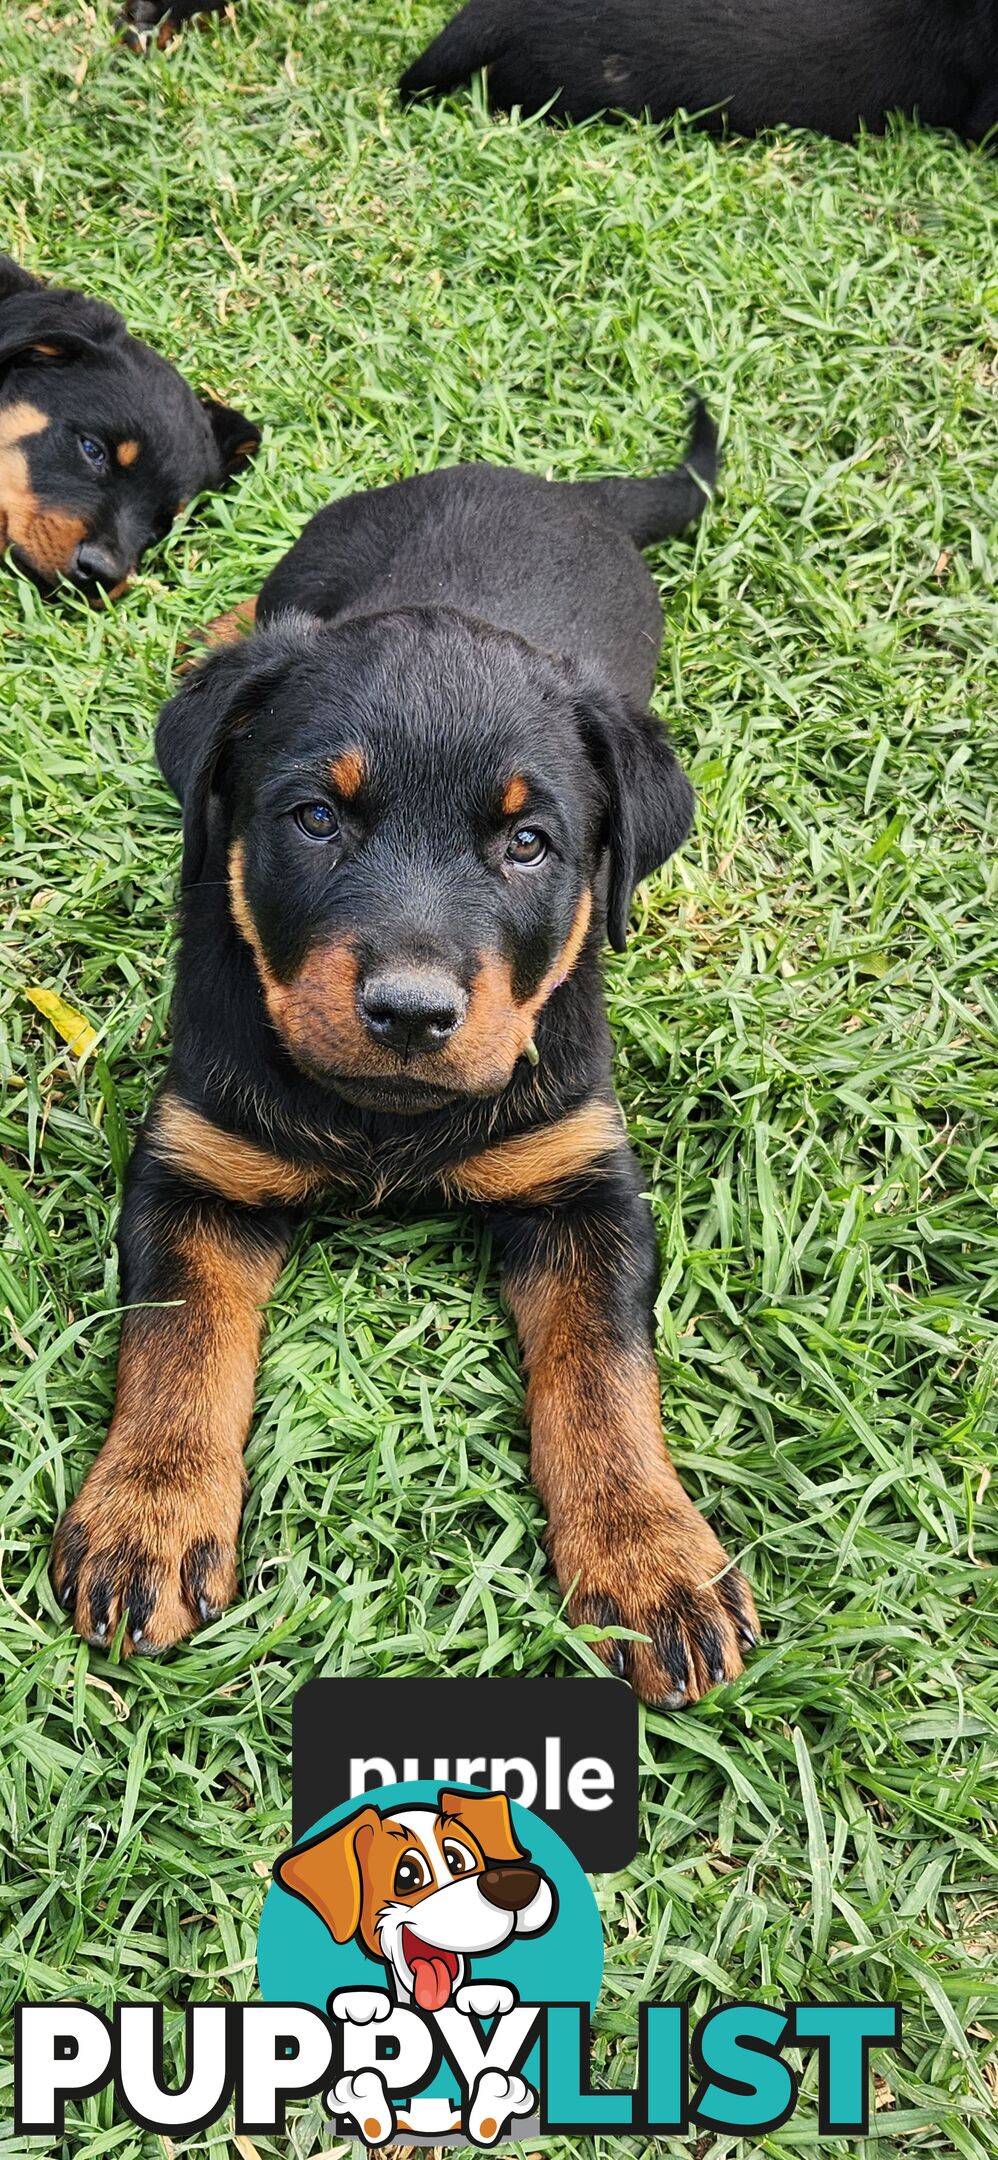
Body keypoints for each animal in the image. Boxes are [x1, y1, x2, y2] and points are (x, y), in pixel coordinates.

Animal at [50, 401, 760, 1702]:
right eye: (314, 820)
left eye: (528, 844)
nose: (412, 1012)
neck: (382, 1118)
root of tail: (545, 484)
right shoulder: (196, 1165)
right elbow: (180, 1342)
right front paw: (148, 1518)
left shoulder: (581, 1181)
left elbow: (603, 1375)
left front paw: (653, 1562)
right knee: (273, 613)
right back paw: (219, 636)